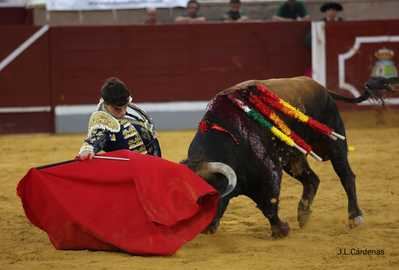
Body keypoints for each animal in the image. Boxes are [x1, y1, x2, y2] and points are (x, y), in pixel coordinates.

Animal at [183, 76, 396, 238]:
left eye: (210, 197)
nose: (201, 229)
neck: (230, 137)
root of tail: (323, 89)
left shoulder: (270, 172)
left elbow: (269, 204)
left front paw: (281, 230)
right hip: (294, 159)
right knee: (312, 179)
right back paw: (303, 215)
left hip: (335, 144)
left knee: (346, 176)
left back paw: (355, 217)